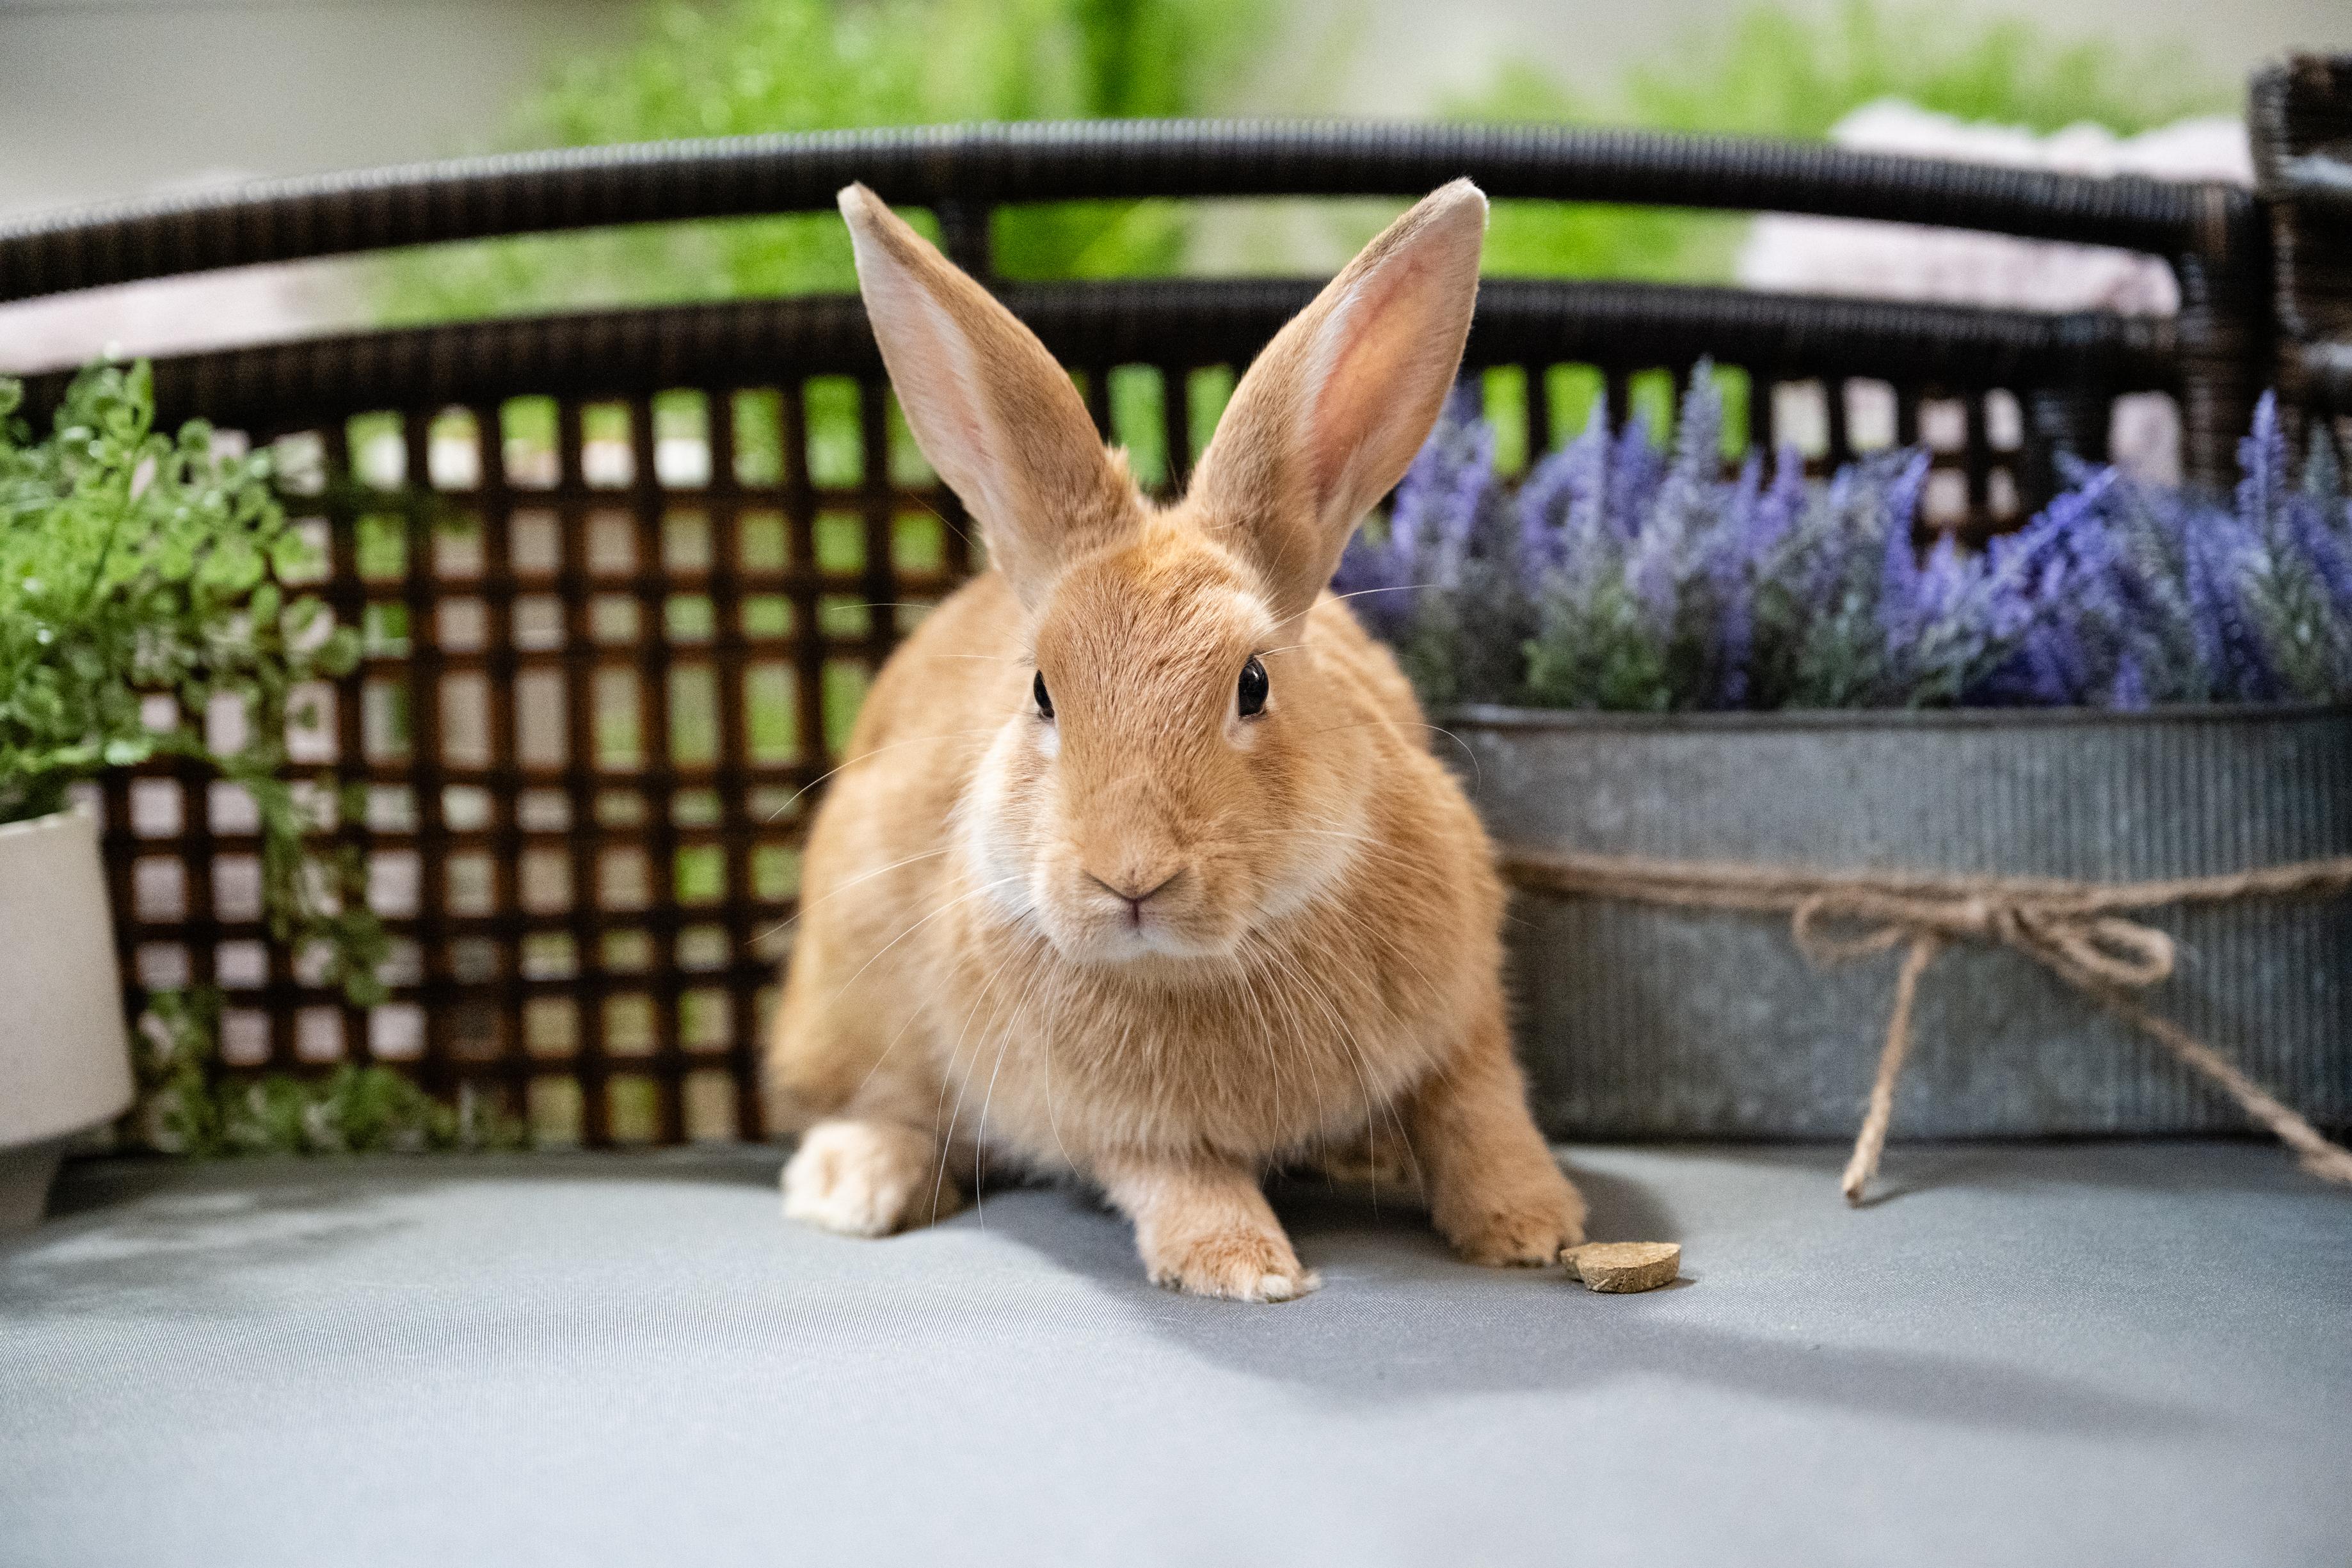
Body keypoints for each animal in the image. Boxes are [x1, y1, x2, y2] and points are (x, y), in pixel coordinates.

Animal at [765, 178, 1587, 1301]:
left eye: (1253, 684)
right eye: (1040, 691)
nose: (1130, 876)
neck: (1204, 963)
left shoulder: (1463, 1024)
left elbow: (1479, 1113)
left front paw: (1533, 1227)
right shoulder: (1116, 1125)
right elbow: (1177, 1177)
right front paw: (1243, 1269)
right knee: (886, 1102)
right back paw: (851, 1184)